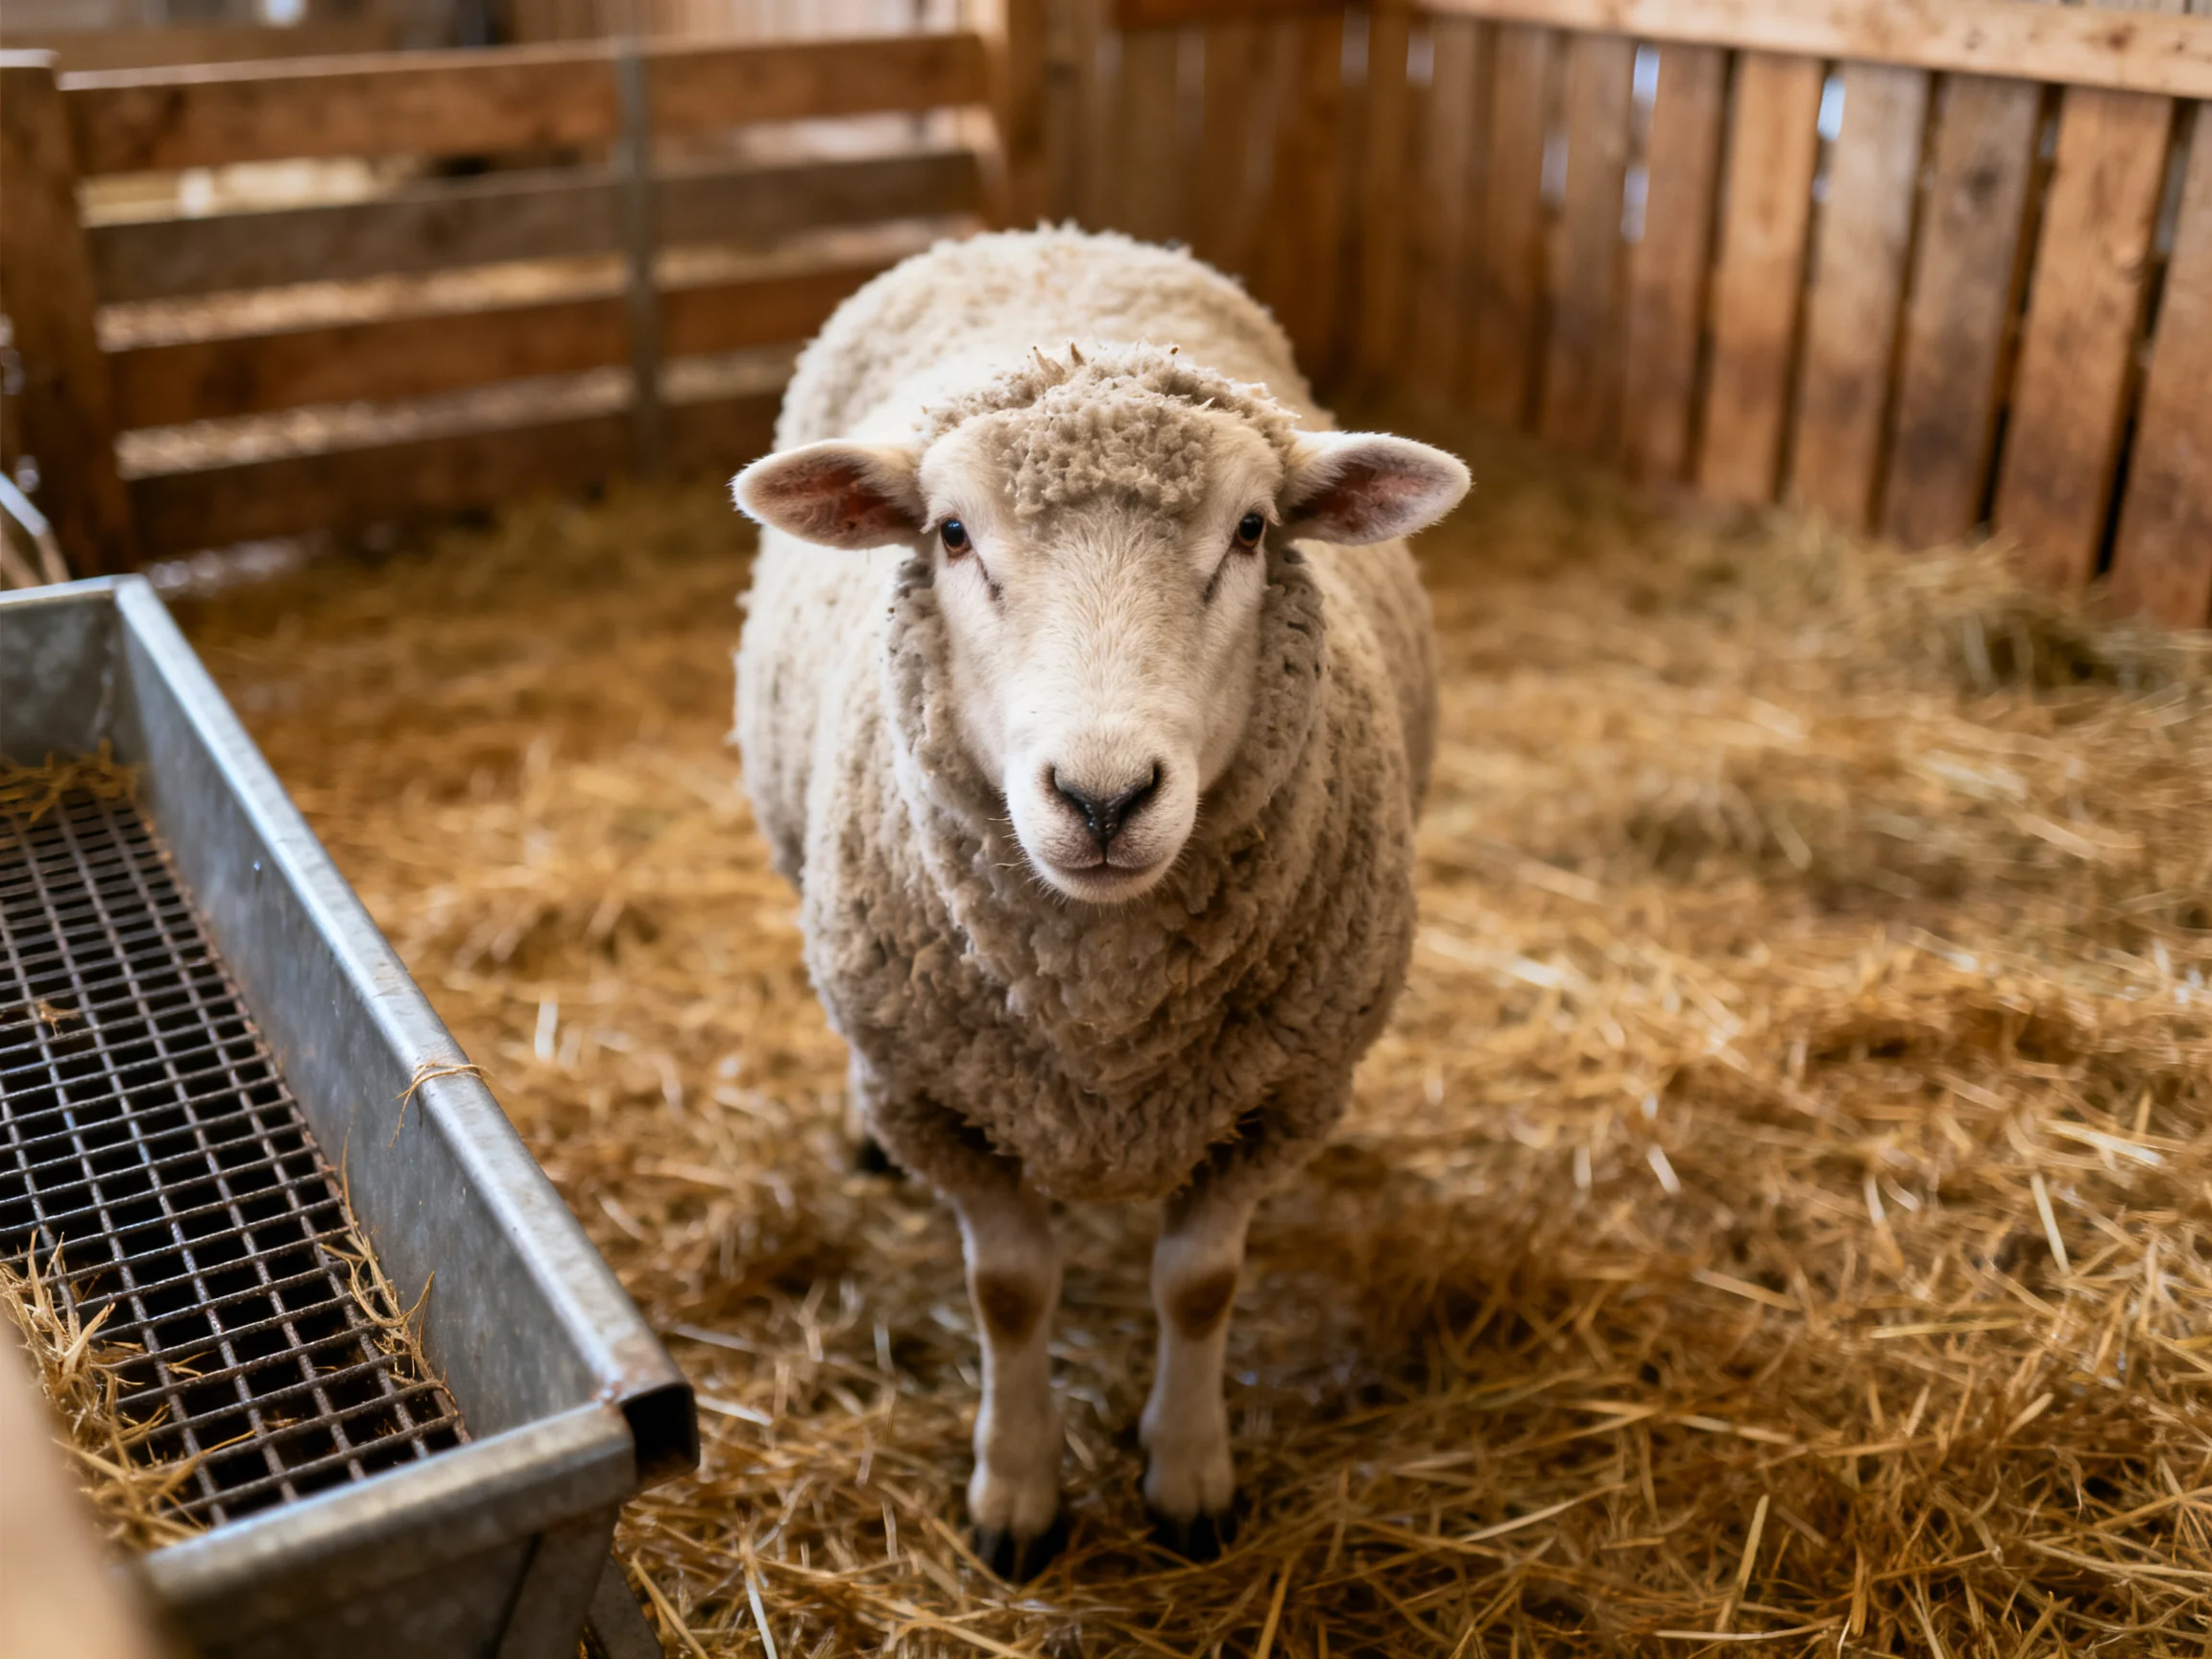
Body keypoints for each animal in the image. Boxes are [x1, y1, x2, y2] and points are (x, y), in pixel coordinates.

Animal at [731, 228, 1467, 1578]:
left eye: (1251, 529)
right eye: (952, 533)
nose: (1105, 796)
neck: (1104, 1011)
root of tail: (1040, 235)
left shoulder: (1281, 1098)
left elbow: (1199, 1287)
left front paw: (1188, 1475)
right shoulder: (942, 1102)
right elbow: (1013, 1293)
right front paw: (1017, 1494)